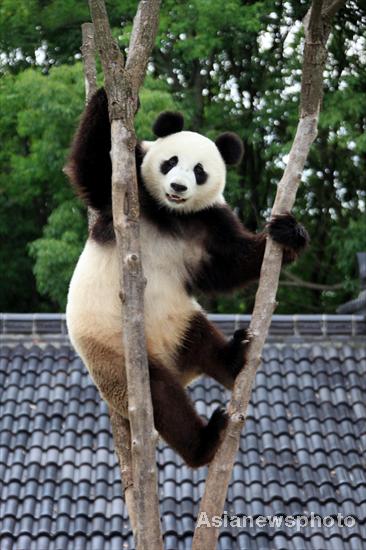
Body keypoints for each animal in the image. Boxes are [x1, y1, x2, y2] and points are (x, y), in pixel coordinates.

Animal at [65, 88, 308, 468]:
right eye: (170, 162)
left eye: (199, 171)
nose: (178, 187)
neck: (171, 214)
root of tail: (176, 365)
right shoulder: (125, 193)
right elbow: (92, 167)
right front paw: (110, 92)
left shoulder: (208, 221)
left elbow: (228, 265)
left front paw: (289, 234)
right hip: (116, 356)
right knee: (160, 397)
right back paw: (203, 443)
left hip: (179, 320)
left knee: (200, 339)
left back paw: (232, 360)